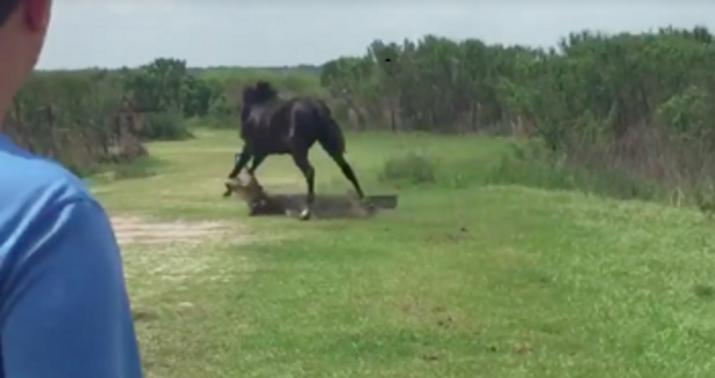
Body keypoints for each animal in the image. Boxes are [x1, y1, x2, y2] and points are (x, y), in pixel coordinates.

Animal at [222, 81, 366, 220]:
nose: (241, 133)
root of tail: (318, 109)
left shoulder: (250, 147)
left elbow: (238, 168)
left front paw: (228, 189)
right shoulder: (261, 152)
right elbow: (250, 170)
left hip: (298, 151)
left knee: (310, 171)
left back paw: (307, 209)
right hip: (329, 145)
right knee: (346, 168)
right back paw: (362, 198)